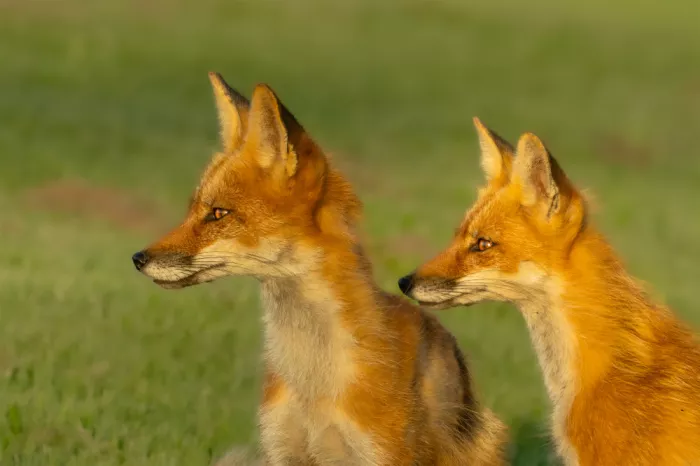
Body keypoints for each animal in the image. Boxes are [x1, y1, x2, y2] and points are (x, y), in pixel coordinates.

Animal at [131, 73, 508, 465]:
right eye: (193, 210)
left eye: (218, 213)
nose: (138, 258)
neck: (313, 386)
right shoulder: (282, 449)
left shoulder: (381, 452)